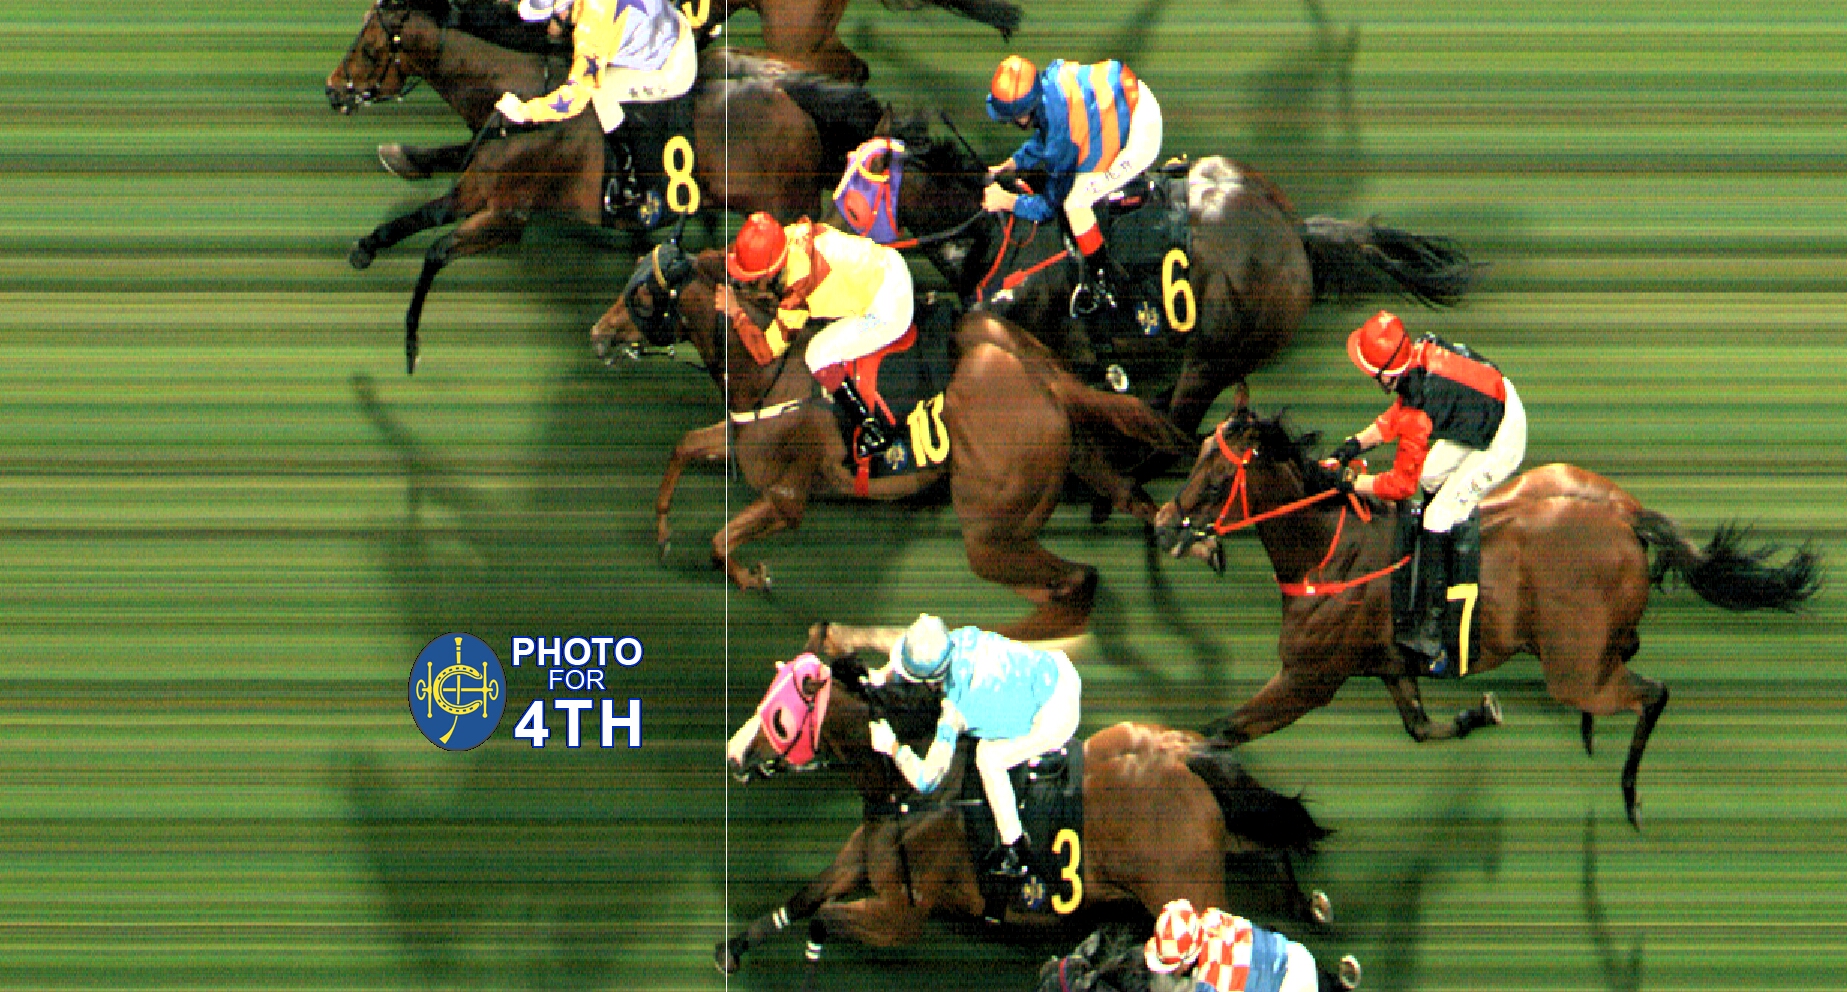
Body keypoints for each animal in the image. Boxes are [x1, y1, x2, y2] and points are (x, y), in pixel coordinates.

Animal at [326, 0, 882, 372]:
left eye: (369, 49)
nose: (333, 92)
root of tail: (792, 97)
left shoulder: (507, 215)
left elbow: (437, 249)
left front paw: (411, 344)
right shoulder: (480, 183)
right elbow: (423, 216)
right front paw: (366, 245)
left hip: (786, 203)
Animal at [589, 241, 1195, 639]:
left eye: (644, 295)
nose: (598, 334)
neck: (767, 370)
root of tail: (1044, 376)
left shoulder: (786, 498)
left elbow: (720, 541)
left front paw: (752, 576)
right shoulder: (741, 439)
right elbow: (686, 445)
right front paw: (664, 533)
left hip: (991, 533)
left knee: (1079, 579)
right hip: (1067, 477)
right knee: (1125, 512)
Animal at [723, 653, 1332, 976]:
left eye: (778, 716)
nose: (732, 754)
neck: (907, 790)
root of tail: (1185, 754)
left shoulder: (899, 917)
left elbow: (827, 916)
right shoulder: (861, 862)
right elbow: (803, 899)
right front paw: (730, 949)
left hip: (1183, 888)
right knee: (1265, 844)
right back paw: (1309, 907)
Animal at [1151, 388, 1823, 828]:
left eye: (1216, 479)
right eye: (1198, 454)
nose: (1161, 526)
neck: (1332, 549)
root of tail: (1627, 516)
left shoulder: (1307, 678)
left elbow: (1218, 734)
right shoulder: (1391, 667)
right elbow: (1422, 729)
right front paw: (1481, 713)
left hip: (1572, 670)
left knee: (1650, 693)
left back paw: (1629, 795)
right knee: (1628, 654)